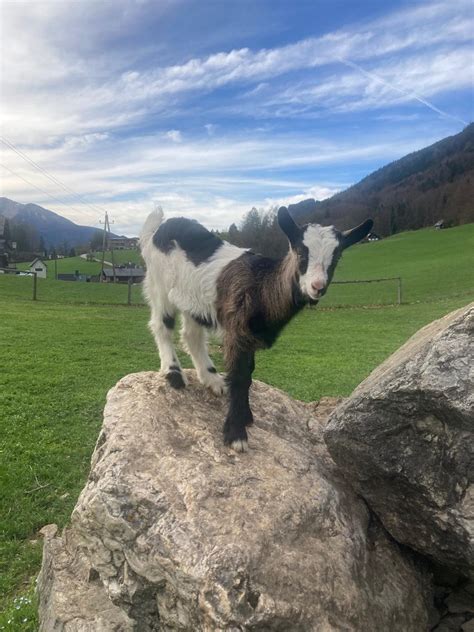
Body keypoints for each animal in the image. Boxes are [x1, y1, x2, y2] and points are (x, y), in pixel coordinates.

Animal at [139, 206, 372, 450]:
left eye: (336, 257)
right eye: (301, 253)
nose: (317, 287)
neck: (262, 287)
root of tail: (156, 230)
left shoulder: (249, 336)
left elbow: (249, 374)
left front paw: (246, 416)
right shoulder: (236, 330)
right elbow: (239, 377)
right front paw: (236, 434)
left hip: (192, 300)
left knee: (191, 335)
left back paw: (212, 380)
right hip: (158, 282)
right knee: (161, 325)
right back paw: (173, 373)